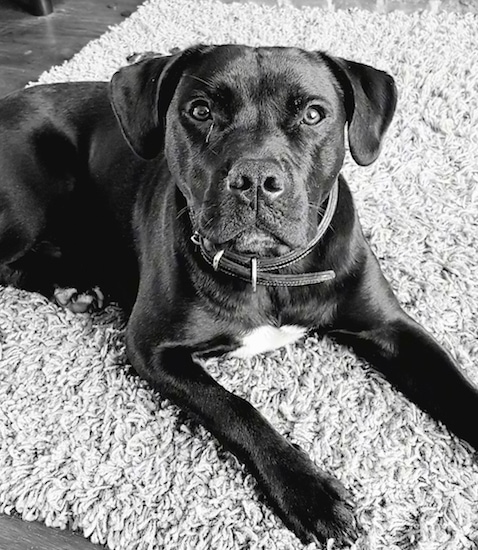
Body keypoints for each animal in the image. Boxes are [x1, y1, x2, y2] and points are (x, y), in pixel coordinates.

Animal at [1, 46, 476, 548]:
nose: (255, 178)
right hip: (27, 204)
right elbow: (235, 408)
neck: (267, 271)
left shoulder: (392, 329)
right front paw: (308, 492)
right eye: (201, 111)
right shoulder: (152, 348)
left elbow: (457, 389)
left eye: (313, 114)